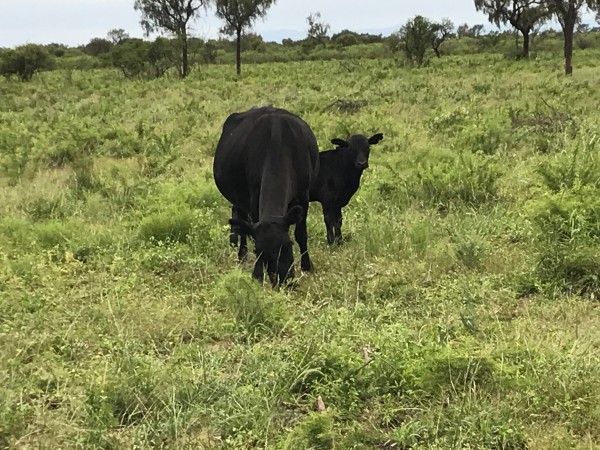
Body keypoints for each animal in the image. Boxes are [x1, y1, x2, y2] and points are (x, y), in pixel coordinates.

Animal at [214, 105, 322, 284]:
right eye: (259, 252)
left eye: (288, 245)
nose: (283, 279)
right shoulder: (253, 198)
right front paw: (257, 274)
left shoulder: (303, 195)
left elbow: (301, 233)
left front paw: (307, 265)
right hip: (239, 197)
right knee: (241, 221)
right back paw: (242, 255)